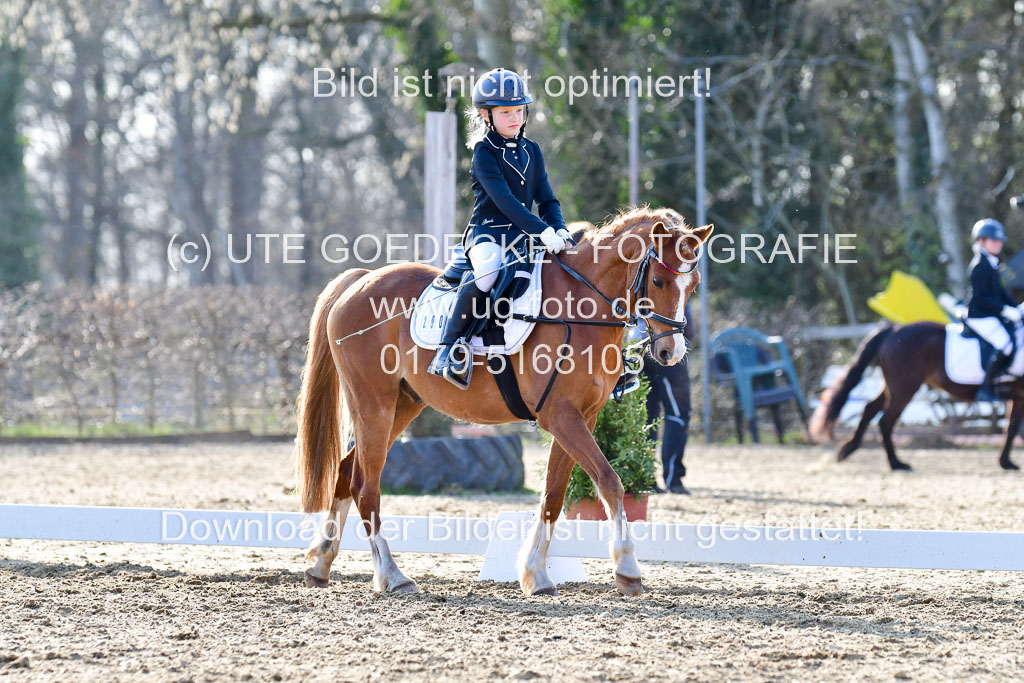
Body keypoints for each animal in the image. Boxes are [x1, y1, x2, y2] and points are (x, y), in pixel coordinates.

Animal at [296, 206, 712, 593]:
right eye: (658, 280)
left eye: (694, 285)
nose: (671, 352)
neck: (582, 305)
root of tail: (359, 281)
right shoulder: (560, 416)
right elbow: (610, 482)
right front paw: (627, 570)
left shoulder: (582, 417)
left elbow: (554, 495)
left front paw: (536, 574)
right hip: (374, 404)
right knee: (365, 486)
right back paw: (392, 576)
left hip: (404, 404)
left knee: (345, 473)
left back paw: (320, 565)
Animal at [806, 323, 1024, 473]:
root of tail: (894, 329)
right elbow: (1013, 428)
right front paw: (1006, 462)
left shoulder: (1019, 397)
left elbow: (1011, 428)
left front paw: (1006, 462)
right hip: (904, 389)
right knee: (885, 421)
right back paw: (896, 463)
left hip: (893, 387)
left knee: (870, 408)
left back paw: (848, 449)